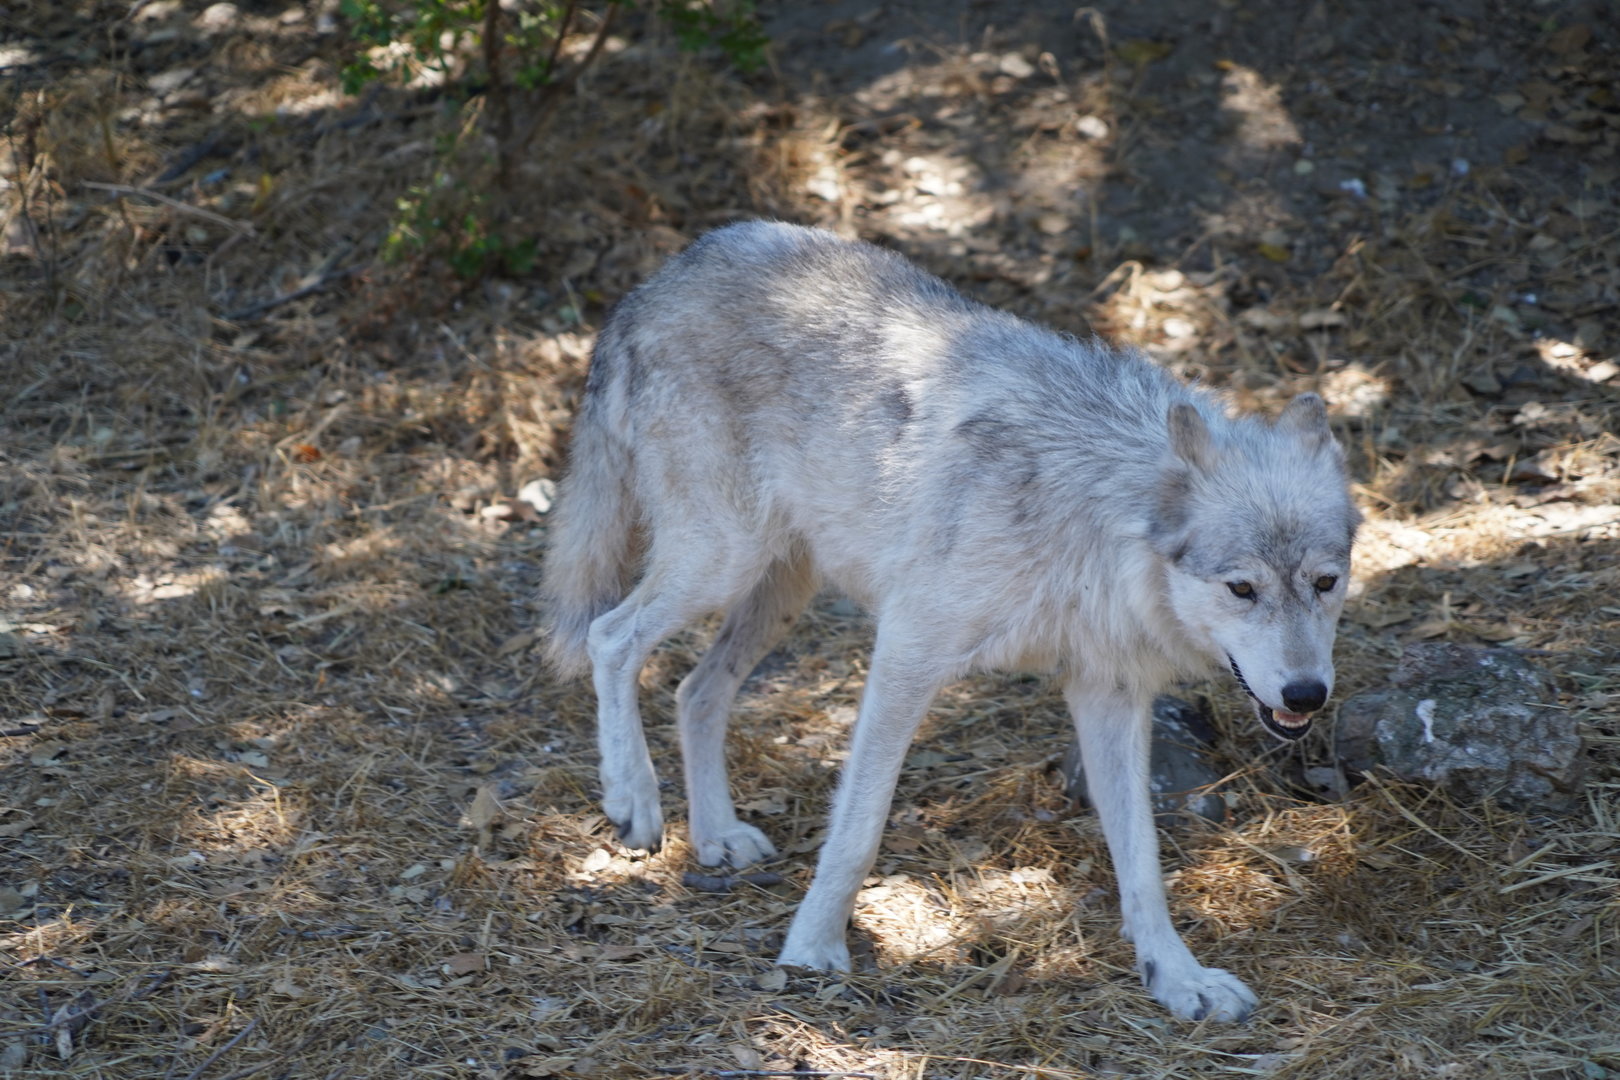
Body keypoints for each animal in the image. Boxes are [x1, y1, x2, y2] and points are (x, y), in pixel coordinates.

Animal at [541, 221, 1359, 1022]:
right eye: (1242, 589)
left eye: (1326, 582)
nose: (1307, 695)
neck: (1094, 512)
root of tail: (661, 277)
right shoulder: (907, 653)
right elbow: (858, 829)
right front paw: (811, 950)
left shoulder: (1109, 692)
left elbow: (1143, 860)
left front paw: (1177, 978)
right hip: (723, 561)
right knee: (610, 638)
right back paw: (633, 801)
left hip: (777, 591)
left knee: (695, 691)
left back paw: (715, 836)